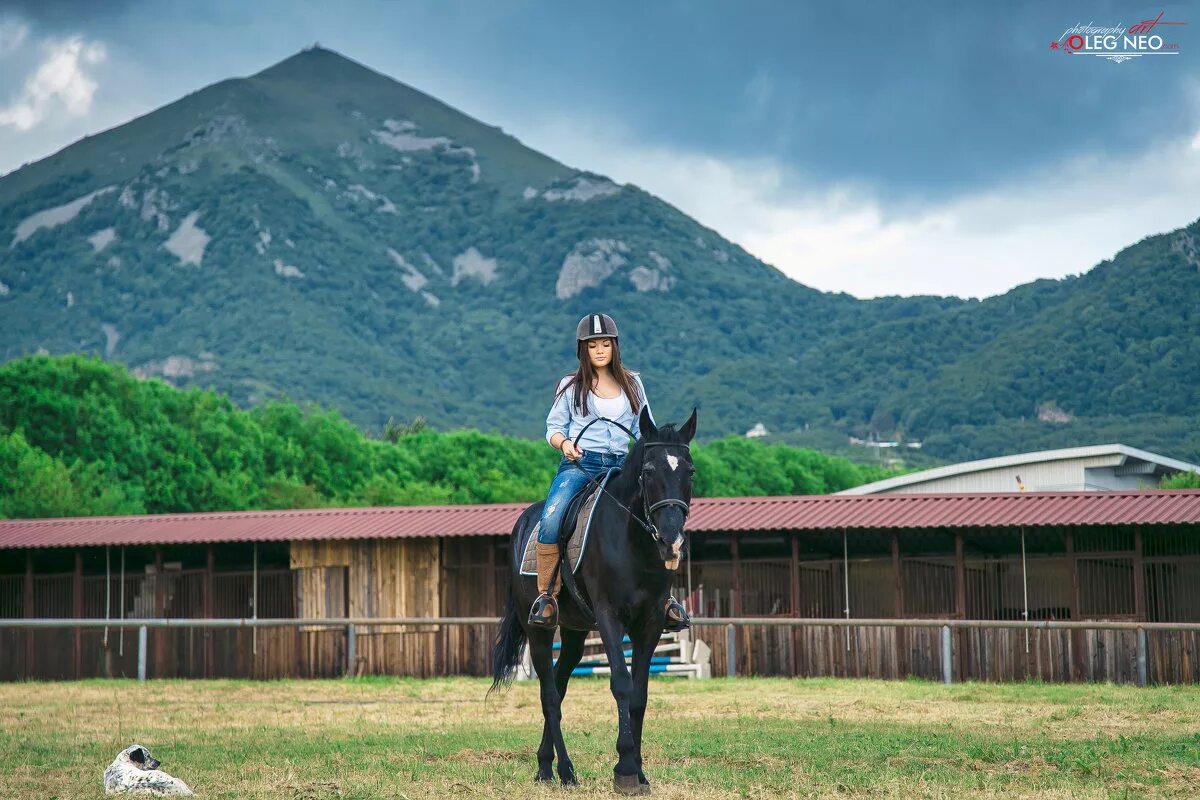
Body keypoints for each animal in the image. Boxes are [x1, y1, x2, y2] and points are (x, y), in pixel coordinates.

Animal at [487, 407, 696, 796]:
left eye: (689, 471)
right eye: (648, 471)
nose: (671, 542)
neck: (634, 542)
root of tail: (524, 521)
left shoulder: (650, 623)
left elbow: (640, 694)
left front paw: (640, 773)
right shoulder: (609, 616)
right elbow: (621, 685)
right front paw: (625, 770)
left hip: (573, 633)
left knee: (558, 685)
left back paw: (545, 767)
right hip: (539, 631)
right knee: (549, 694)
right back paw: (565, 771)